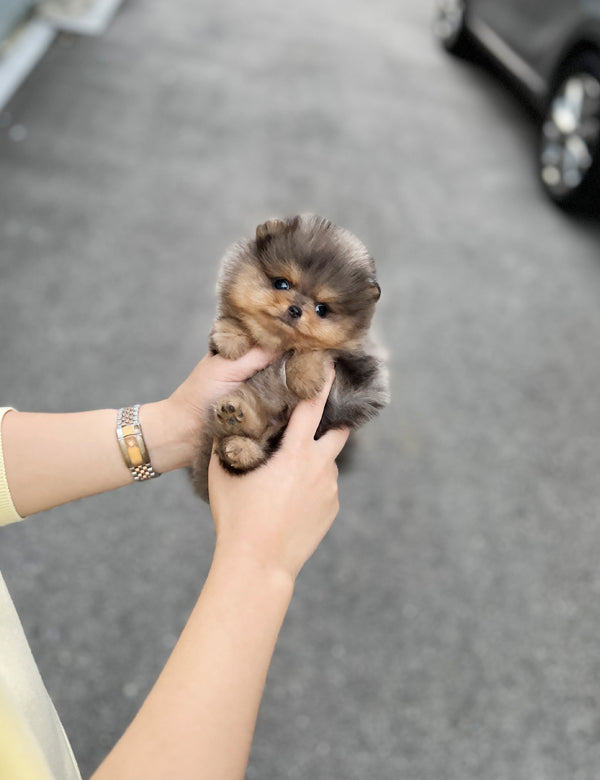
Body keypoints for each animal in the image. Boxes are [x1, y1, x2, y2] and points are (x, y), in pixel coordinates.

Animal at [192, 216, 390, 502]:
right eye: (282, 284)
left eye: (322, 309)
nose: (295, 309)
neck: (279, 343)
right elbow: (233, 320)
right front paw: (232, 336)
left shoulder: (354, 377)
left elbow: (320, 351)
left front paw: (304, 377)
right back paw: (235, 418)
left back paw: (239, 442)